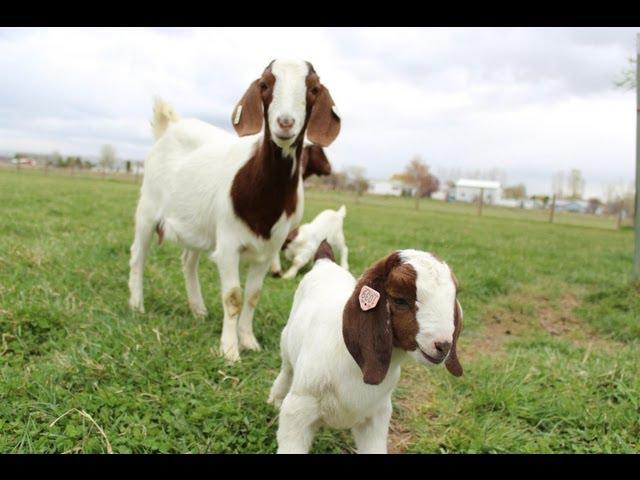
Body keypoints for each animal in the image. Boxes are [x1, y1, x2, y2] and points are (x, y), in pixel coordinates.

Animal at [127, 59, 342, 360]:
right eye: (264, 85)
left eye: (312, 89)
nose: (285, 123)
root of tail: (169, 128)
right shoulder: (229, 243)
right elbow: (233, 297)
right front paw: (229, 350)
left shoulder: (268, 248)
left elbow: (252, 295)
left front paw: (248, 340)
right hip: (148, 207)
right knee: (138, 254)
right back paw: (137, 304)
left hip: (198, 224)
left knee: (188, 260)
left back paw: (198, 309)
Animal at [268, 244, 462, 454]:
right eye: (400, 300)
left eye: (453, 298)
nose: (443, 345)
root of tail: (325, 262)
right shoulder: (298, 411)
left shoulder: (377, 415)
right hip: (286, 342)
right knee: (286, 370)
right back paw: (275, 400)